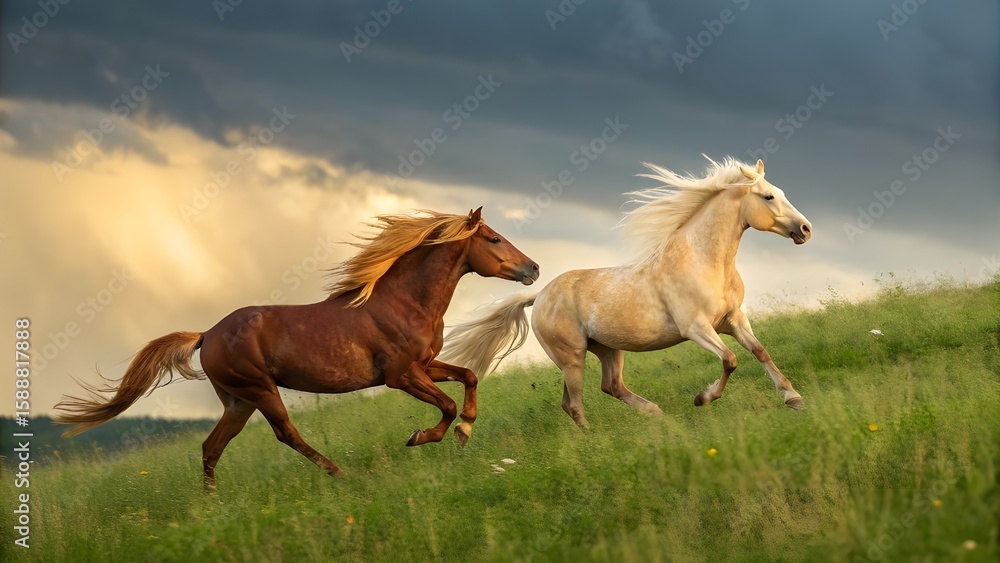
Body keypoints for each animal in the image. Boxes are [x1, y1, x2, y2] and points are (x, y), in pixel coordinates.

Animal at [54, 208, 539, 490]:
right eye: (493, 238)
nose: (533, 268)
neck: (403, 301)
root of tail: (207, 334)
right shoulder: (400, 375)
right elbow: (446, 405)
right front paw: (422, 437)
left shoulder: (426, 364)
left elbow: (468, 378)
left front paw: (465, 432)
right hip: (260, 390)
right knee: (285, 434)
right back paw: (340, 474)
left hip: (239, 401)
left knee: (212, 447)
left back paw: (212, 505)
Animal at [440, 158, 812, 427]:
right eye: (768, 196)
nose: (806, 229)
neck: (705, 261)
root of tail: (540, 296)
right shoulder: (697, 328)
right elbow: (730, 360)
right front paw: (702, 398)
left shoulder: (733, 320)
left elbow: (760, 352)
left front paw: (793, 399)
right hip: (571, 356)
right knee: (574, 403)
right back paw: (593, 439)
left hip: (607, 349)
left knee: (609, 387)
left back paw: (655, 414)